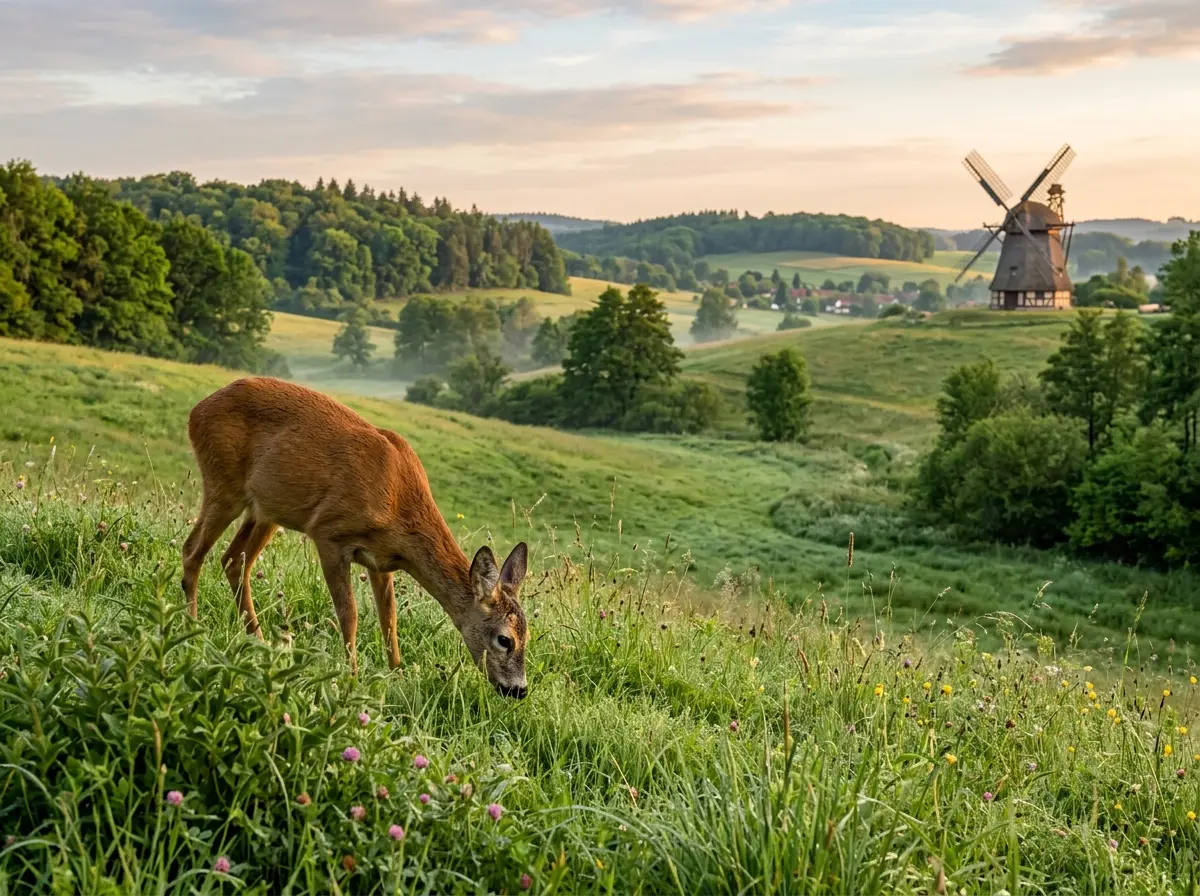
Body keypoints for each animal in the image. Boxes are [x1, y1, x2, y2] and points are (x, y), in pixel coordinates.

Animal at [180, 376, 530, 698]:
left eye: (527, 635)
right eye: (504, 639)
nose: (519, 690)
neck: (399, 501)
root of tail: (197, 410)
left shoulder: (381, 562)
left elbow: (389, 620)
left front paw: (397, 674)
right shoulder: (328, 533)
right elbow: (349, 615)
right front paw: (351, 678)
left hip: (265, 510)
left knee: (232, 561)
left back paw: (261, 644)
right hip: (224, 484)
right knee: (192, 550)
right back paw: (192, 632)